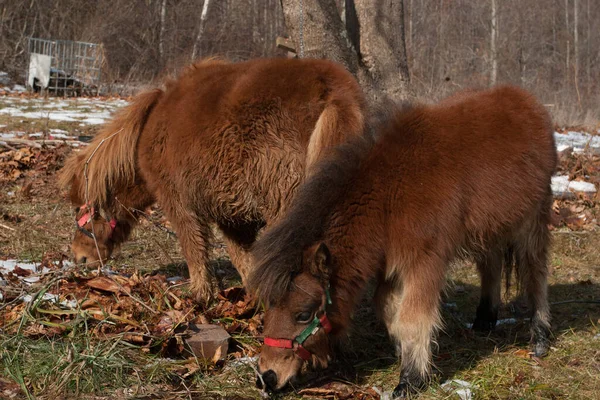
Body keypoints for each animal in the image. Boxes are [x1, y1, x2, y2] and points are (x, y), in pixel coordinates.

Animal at [59, 57, 366, 304]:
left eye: (79, 209)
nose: (78, 257)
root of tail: (332, 92)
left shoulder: (179, 204)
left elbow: (194, 248)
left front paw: (200, 296)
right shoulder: (233, 216)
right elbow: (243, 258)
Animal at [250, 85, 556, 396]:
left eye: (303, 314)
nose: (267, 376)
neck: (387, 194)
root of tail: (527, 101)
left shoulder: (424, 263)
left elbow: (411, 318)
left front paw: (411, 379)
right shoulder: (390, 265)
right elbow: (387, 309)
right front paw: (404, 354)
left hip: (532, 221)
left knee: (535, 272)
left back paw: (540, 336)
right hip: (489, 229)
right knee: (491, 265)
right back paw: (485, 319)